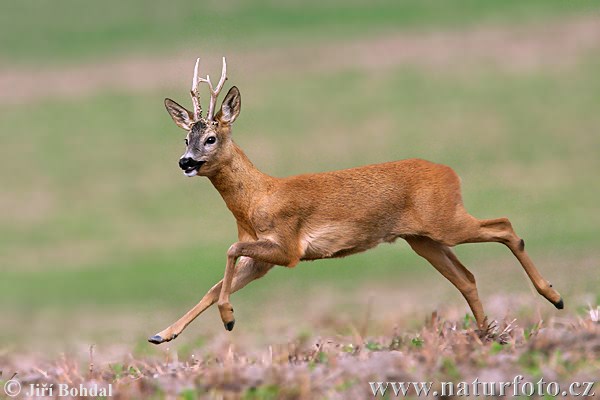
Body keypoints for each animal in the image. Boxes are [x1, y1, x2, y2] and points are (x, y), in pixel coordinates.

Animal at [148, 57, 564, 346]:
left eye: (211, 138)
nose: (186, 162)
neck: (257, 199)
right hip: (423, 239)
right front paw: (162, 334)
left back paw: (553, 297)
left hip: (445, 221)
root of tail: (450, 172)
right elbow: (216, 284)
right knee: (467, 276)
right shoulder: (263, 259)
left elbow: (230, 251)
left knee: (506, 227)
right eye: (185, 138)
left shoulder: (288, 248)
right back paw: (488, 335)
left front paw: (229, 319)